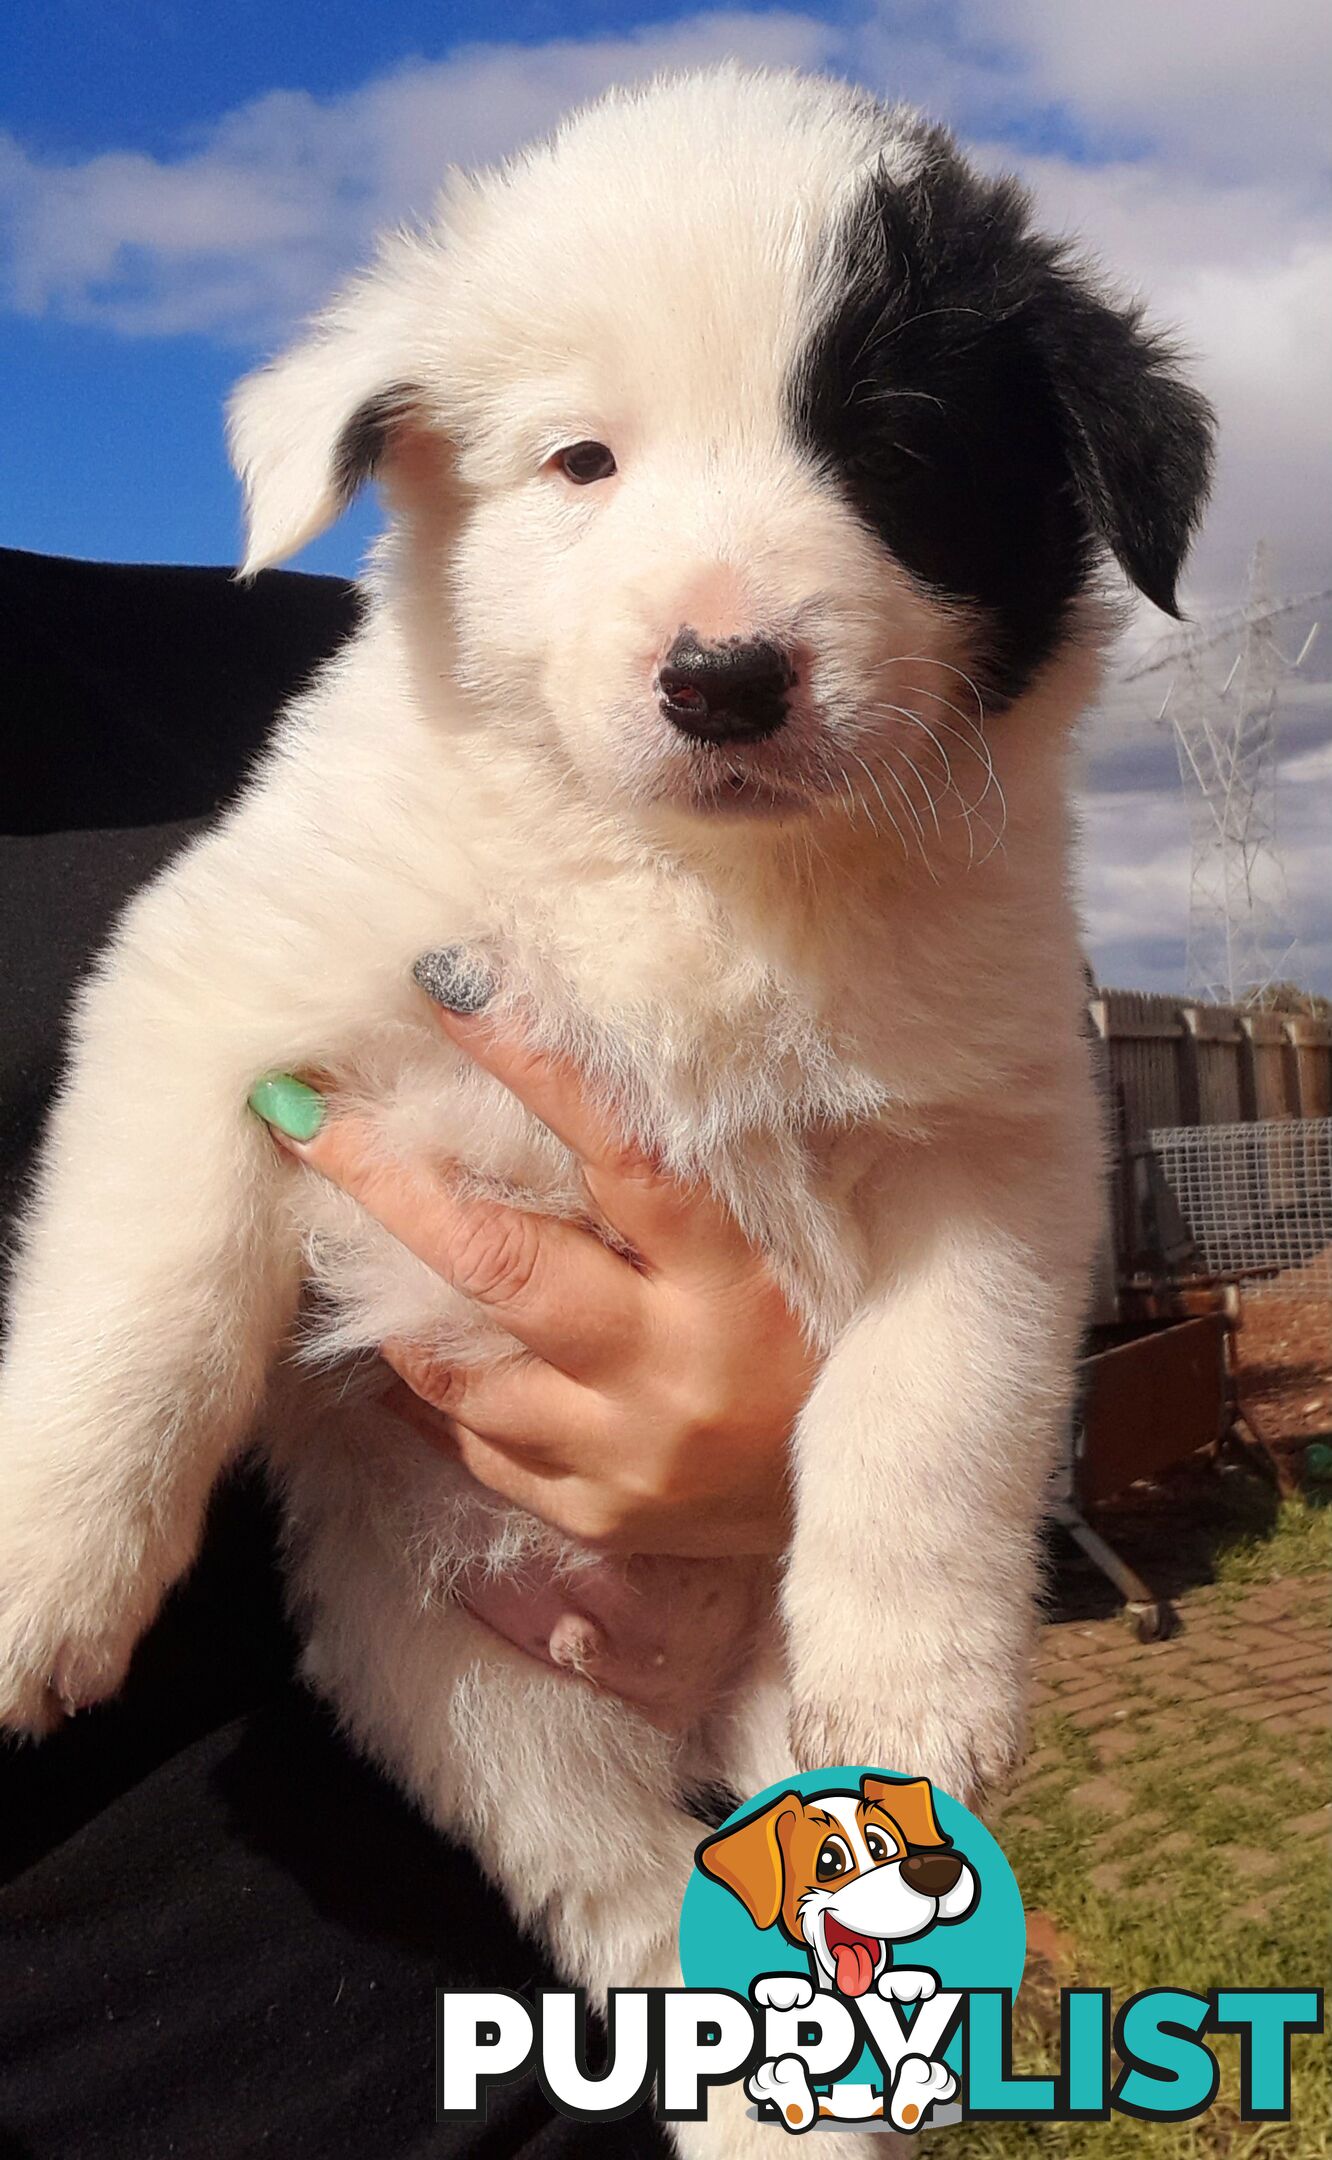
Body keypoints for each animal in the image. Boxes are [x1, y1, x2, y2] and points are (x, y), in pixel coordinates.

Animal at [0, 67, 1208, 2160]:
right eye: (582, 463)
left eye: (892, 449)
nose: (723, 677)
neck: (688, 879)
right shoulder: (212, 988)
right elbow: (136, 1309)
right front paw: (41, 1566)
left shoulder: (997, 1144)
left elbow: (932, 1414)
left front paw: (913, 1681)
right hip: (466, 1690)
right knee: (633, 1913)